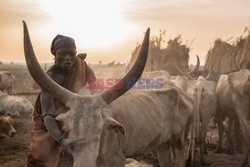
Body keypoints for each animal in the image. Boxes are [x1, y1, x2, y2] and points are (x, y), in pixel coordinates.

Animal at [23, 21, 193, 167]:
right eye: (68, 128)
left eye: (100, 129)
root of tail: (181, 91)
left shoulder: (116, 160)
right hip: (162, 145)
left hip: (180, 143)